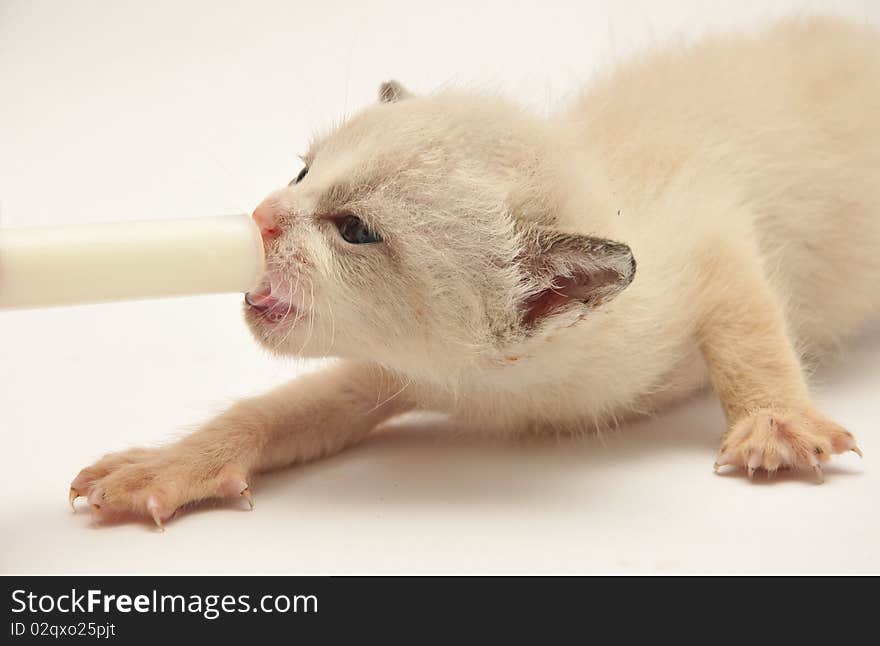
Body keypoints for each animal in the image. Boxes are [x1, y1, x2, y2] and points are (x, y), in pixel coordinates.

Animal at [72, 16, 876, 532]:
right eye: (302, 172)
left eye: (355, 230)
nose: (262, 215)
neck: (516, 388)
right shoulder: (392, 372)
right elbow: (276, 411)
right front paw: (168, 465)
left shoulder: (708, 239)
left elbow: (750, 332)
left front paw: (776, 420)